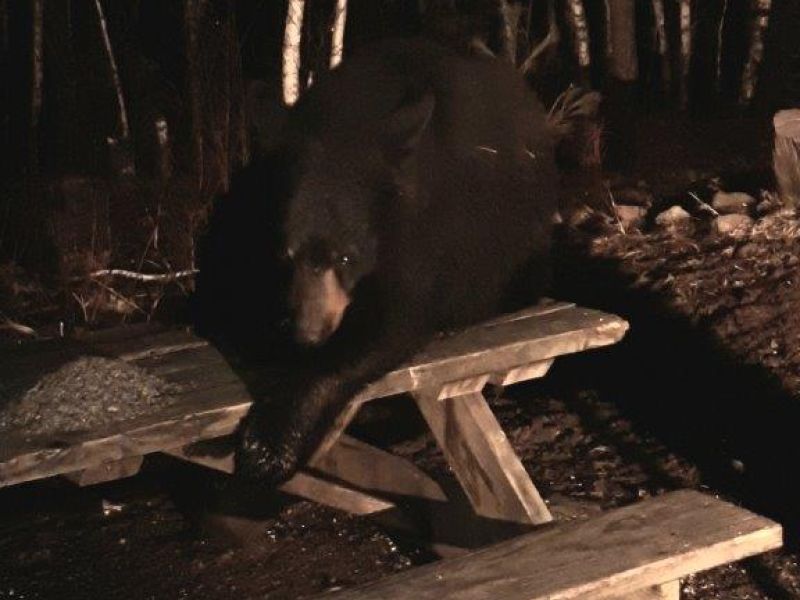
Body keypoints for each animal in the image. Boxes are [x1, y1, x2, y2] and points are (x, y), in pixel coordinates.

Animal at [234, 38, 560, 485]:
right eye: (285, 254)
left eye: (347, 256)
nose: (310, 334)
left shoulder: (420, 233)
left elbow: (391, 324)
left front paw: (269, 444)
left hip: (519, 227)